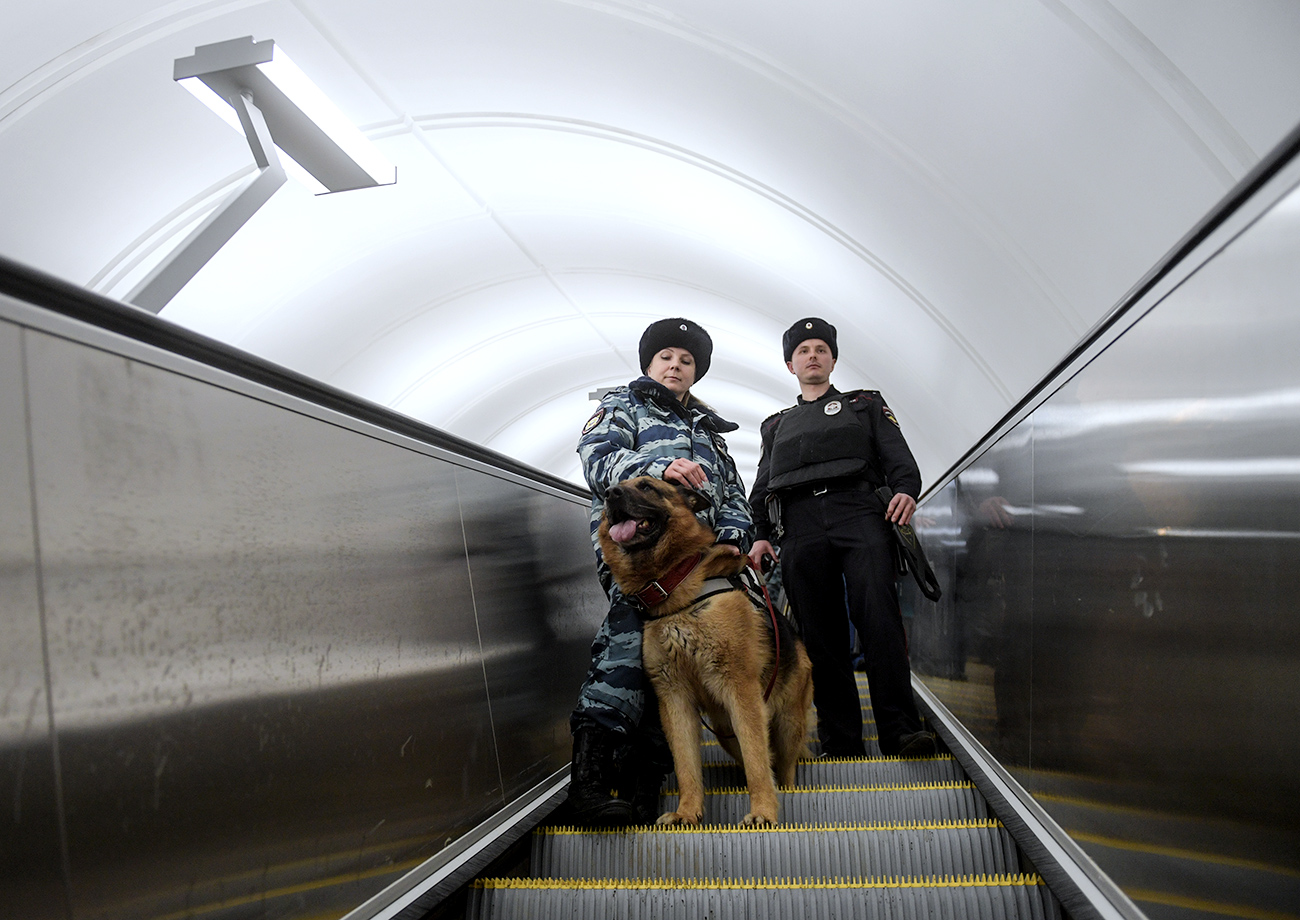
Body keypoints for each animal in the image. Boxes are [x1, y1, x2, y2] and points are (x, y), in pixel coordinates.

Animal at [598, 475, 811, 826]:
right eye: (615, 487)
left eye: (646, 487)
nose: (609, 493)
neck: (672, 586)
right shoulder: (674, 700)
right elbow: (686, 764)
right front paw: (688, 811)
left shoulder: (741, 691)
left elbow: (757, 760)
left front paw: (764, 811)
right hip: (726, 731)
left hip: (786, 723)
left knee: (783, 764)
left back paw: (787, 789)